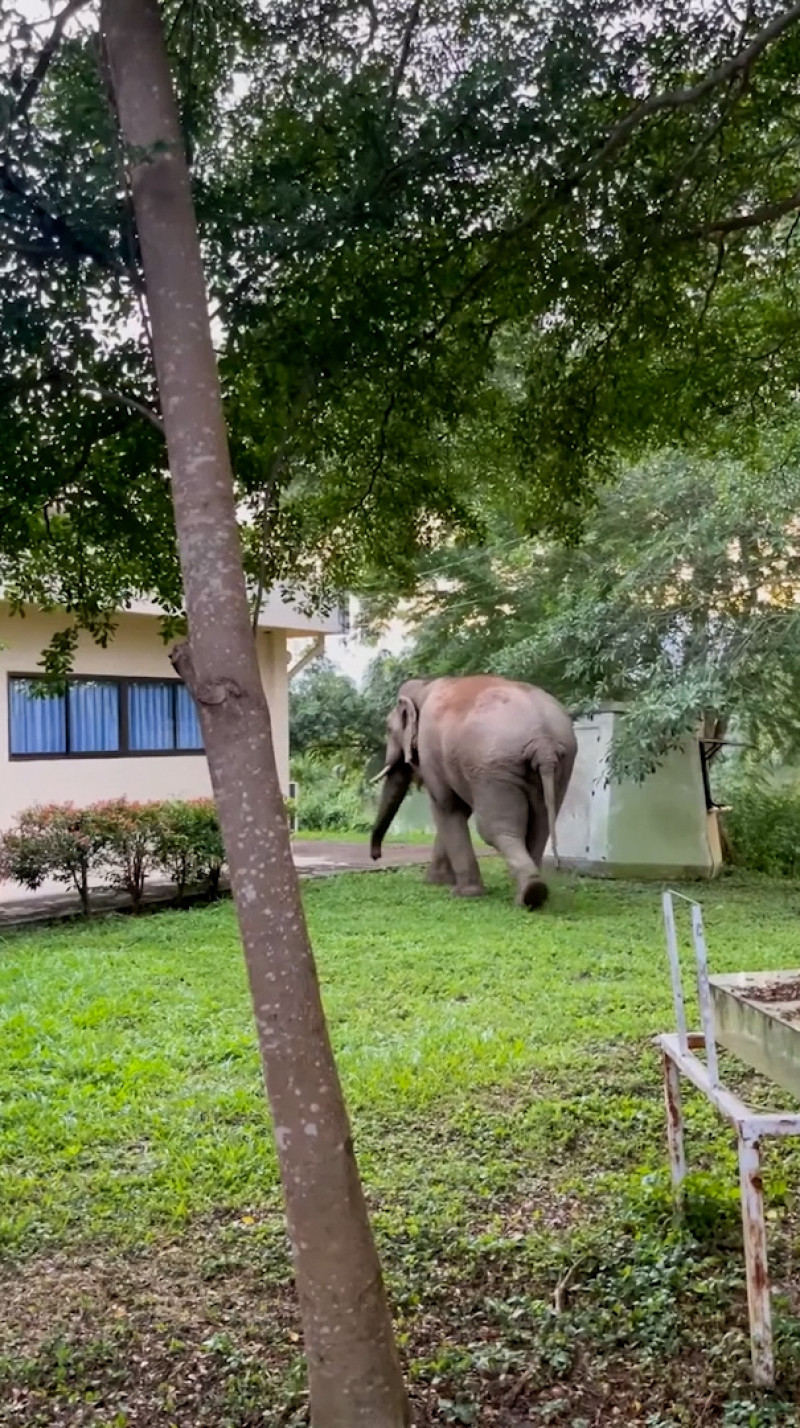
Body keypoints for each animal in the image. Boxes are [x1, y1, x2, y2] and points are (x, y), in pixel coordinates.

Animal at [368, 674, 574, 908]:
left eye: (388, 729)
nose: (376, 856)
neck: (424, 686)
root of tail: (543, 741)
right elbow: (458, 810)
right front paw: (437, 883)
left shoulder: (432, 753)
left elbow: (446, 807)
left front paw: (461, 892)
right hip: (560, 767)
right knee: (540, 827)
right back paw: (531, 892)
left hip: (493, 769)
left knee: (496, 830)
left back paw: (530, 892)